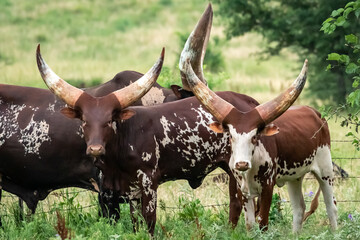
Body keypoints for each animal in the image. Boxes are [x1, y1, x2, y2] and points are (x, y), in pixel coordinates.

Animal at [181, 54, 338, 232]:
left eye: (255, 137)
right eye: (230, 136)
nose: (241, 164)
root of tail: (316, 113)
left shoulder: (268, 187)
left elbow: (263, 222)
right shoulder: (242, 190)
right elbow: (250, 224)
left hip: (325, 169)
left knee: (331, 206)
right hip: (295, 177)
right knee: (299, 208)